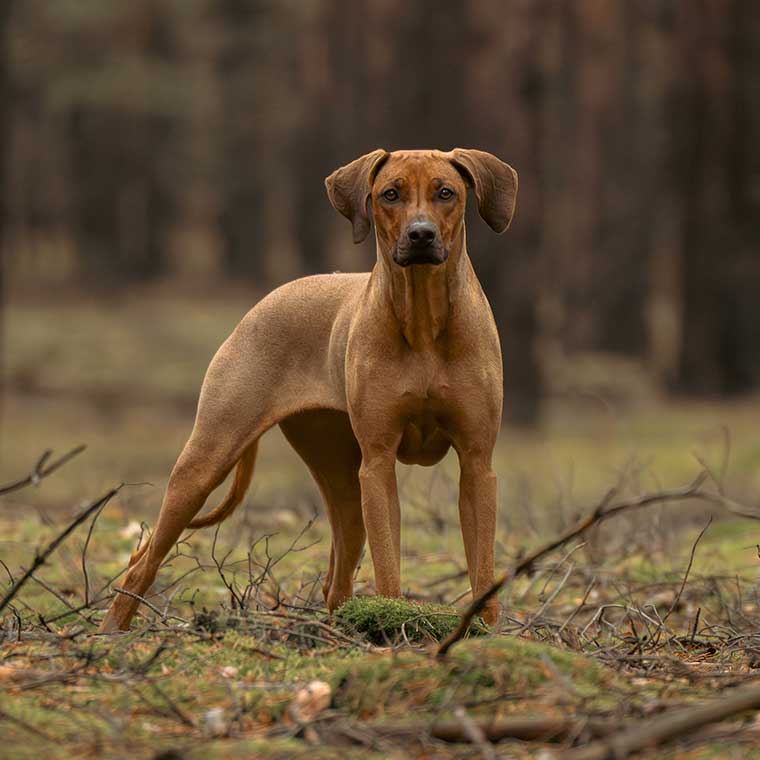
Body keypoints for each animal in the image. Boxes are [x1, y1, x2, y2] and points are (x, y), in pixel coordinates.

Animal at [98, 147, 516, 628]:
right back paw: (112, 630)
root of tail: (265, 301)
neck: (424, 321)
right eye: (390, 194)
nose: (421, 235)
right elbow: (388, 562)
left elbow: (482, 566)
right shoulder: (378, 462)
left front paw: (484, 630)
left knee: (336, 578)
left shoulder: (477, 463)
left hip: (338, 473)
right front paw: (393, 618)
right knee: (142, 564)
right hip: (208, 458)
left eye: (445, 193)